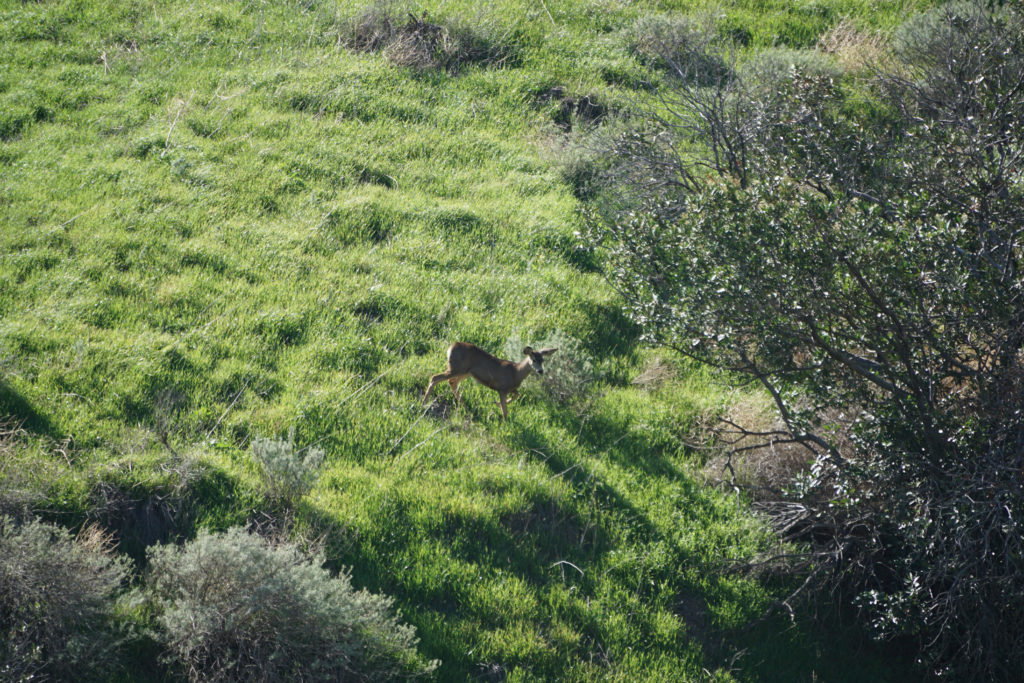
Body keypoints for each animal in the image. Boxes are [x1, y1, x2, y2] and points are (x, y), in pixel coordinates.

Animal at [419, 339, 557, 417]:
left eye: (542, 360)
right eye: (533, 360)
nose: (540, 371)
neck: (516, 373)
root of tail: (450, 347)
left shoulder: (510, 389)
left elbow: (516, 395)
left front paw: (496, 404)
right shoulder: (502, 388)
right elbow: (505, 410)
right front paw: (505, 423)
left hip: (465, 372)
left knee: (452, 382)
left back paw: (465, 406)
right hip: (456, 368)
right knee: (435, 378)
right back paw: (423, 403)